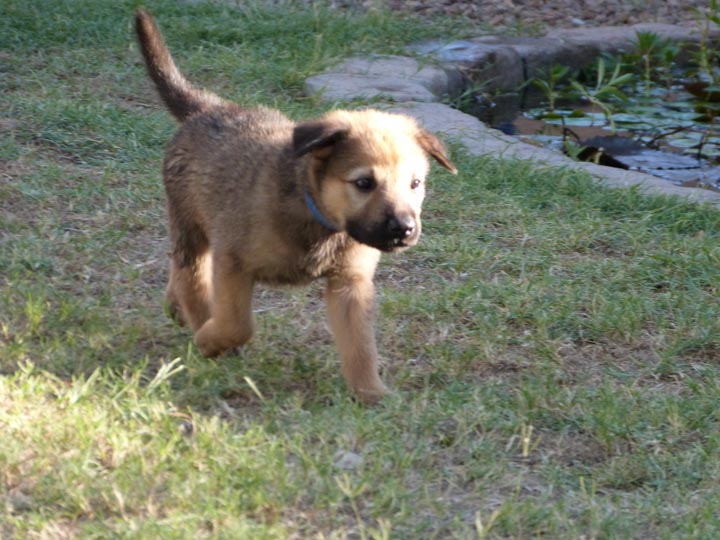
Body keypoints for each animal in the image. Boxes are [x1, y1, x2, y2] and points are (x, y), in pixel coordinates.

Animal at [135, 9, 456, 404]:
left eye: (415, 184)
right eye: (364, 183)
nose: (404, 230)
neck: (317, 216)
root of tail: (211, 108)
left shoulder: (350, 285)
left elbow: (360, 347)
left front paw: (370, 392)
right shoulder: (233, 262)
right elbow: (237, 323)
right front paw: (210, 339)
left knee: (180, 269)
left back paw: (175, 305)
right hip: (191, 225)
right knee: (191, 277)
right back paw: (196, 319)